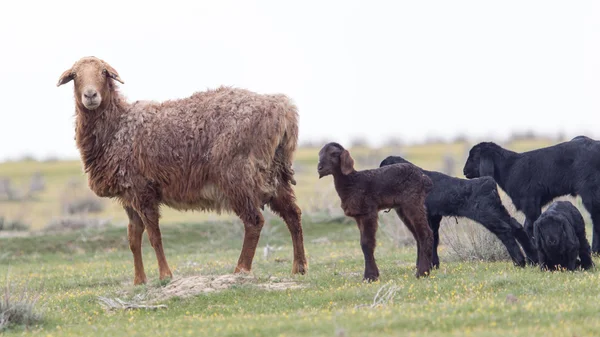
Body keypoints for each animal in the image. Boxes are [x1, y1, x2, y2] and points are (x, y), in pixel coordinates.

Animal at [56, 55, 310, 284]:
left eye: (104, 73)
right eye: (75, 75)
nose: (90, 95)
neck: (117, 126)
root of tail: (283, 109)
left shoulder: (142, 190)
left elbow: (154, 236)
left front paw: (165, 275)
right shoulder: (128, 196)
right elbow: (133, 238)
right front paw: (139, 280)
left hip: (238, 176)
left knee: (254, 221)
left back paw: (241, 269)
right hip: (275, 174)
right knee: (293, 215)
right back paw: (299, 267)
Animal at [316, 142, 434, 280]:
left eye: (334, 154)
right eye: (320, 154)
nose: (320, 168)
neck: (352, 181)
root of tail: (425, 179)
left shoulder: (368, 212)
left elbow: (367, 243)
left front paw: (370, 276)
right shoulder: (359, 215)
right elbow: (363, 243)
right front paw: (372, 275)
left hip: (413, 202)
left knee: (426, 233)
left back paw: (422, 272)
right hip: (403, 209)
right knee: (417, 235)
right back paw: (423, 268)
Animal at [380, 154, 540, 266]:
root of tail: (489, 182)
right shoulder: (434, 217)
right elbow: (434, 239)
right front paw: (434, 264)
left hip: (486, 215)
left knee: (504, 230)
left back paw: (519, 261)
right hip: (497, 210)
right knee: (516, 226)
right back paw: (533, 259)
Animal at [464, 135, 600, 252]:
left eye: (474, 157)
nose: (464, 171)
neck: (509, 169)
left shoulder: (530, 202)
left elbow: (530, 225)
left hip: (590, 191)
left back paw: (595, 250)